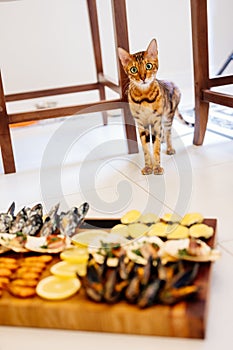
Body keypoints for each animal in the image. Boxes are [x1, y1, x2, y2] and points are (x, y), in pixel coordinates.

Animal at [118, 39, 189, 175]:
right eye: (133, 69)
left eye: (148, 66)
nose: (143, 77)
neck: (144, 98)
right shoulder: (141, 123)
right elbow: (146, 149)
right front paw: (148, 167)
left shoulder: (156, 120)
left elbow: (156, 148)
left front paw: (157, 167)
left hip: (167, 116)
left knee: (168, 132)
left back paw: (169, 147)